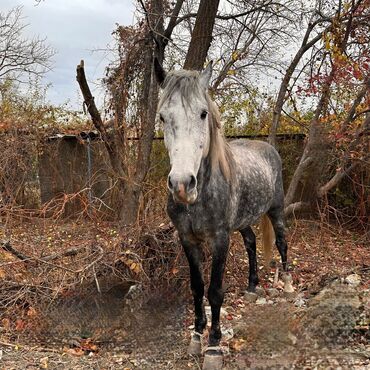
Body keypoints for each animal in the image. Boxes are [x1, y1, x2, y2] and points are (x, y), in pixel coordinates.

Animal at [154, 60, 292, 370]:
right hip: (242, 222)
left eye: (203, 113)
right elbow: (197, 287)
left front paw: (214, 347)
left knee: (282, 241)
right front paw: (196, 337)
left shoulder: (220, 239)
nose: (182, 184)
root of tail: (268, 148)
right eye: (162, 117)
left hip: (276, 210)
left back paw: (288, 283)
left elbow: (215, 291)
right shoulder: (188, 239)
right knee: (251, 242)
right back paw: (252, 287)